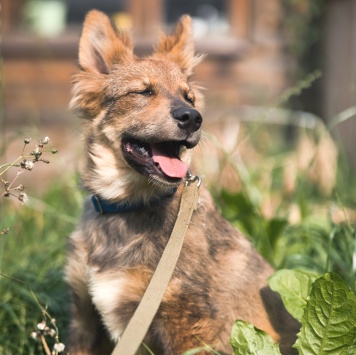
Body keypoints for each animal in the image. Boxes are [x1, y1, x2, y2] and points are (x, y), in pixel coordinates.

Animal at [65, 9, 298, 354]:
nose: (192, 118)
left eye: (189, 98)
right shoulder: (85, 318)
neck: (128, 205)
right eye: (143, 91)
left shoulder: (189, 324)